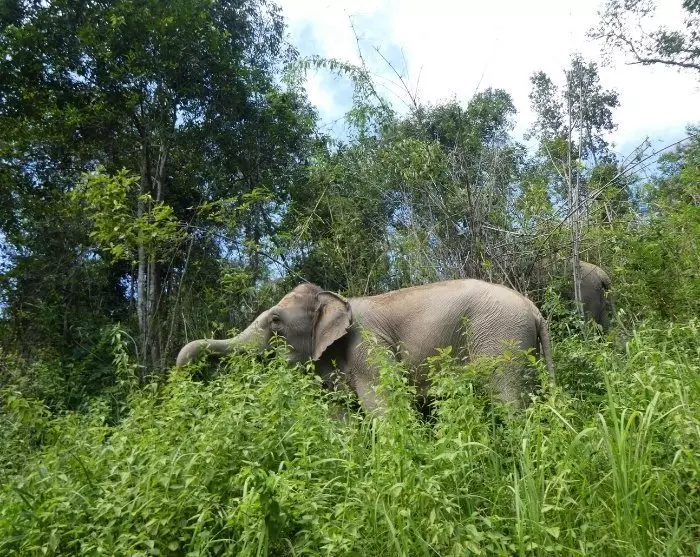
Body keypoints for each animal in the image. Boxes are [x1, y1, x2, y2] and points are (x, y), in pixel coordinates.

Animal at [176, 279, 555, 413]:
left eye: (276, 322)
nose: (183, 373)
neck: (335, 297)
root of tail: (535, 310)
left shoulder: (367, 347)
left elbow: (382, 408)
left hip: (501, 340)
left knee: (507, 398)